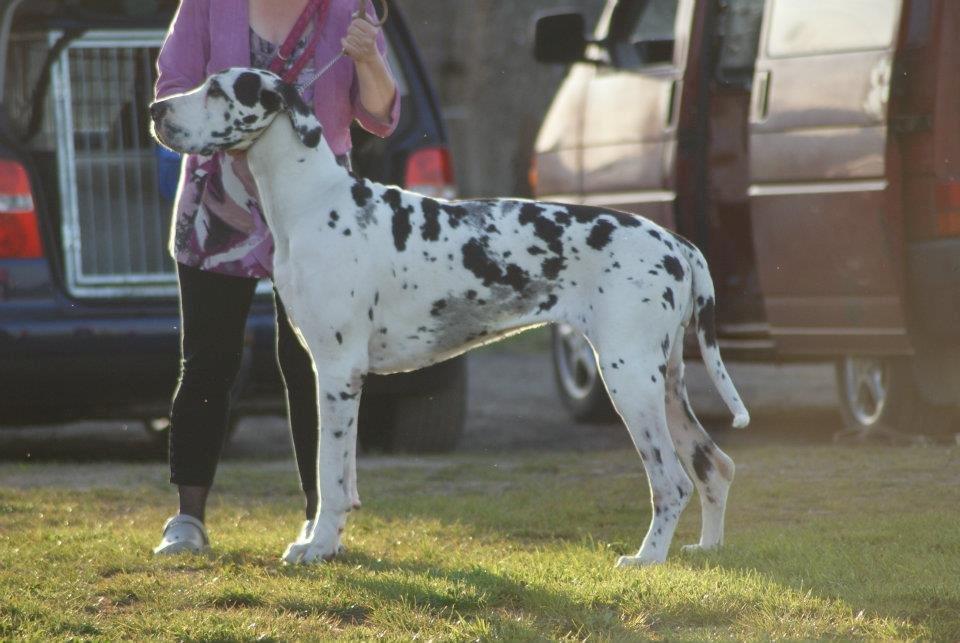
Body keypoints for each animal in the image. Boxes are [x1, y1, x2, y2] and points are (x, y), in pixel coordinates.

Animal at [150, 68, 752, 568]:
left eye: (217, 90)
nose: (156, 108)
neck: (313, 203)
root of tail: (676, 242)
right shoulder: (332, 373)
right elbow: (344, 480)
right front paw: (329, 544)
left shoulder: (337, 372)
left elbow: (329, 477)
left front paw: (318, 548)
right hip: (664, 383)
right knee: (714, 465)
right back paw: (707, 549)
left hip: (628, 380)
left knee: (672, 480)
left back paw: (646, 559)